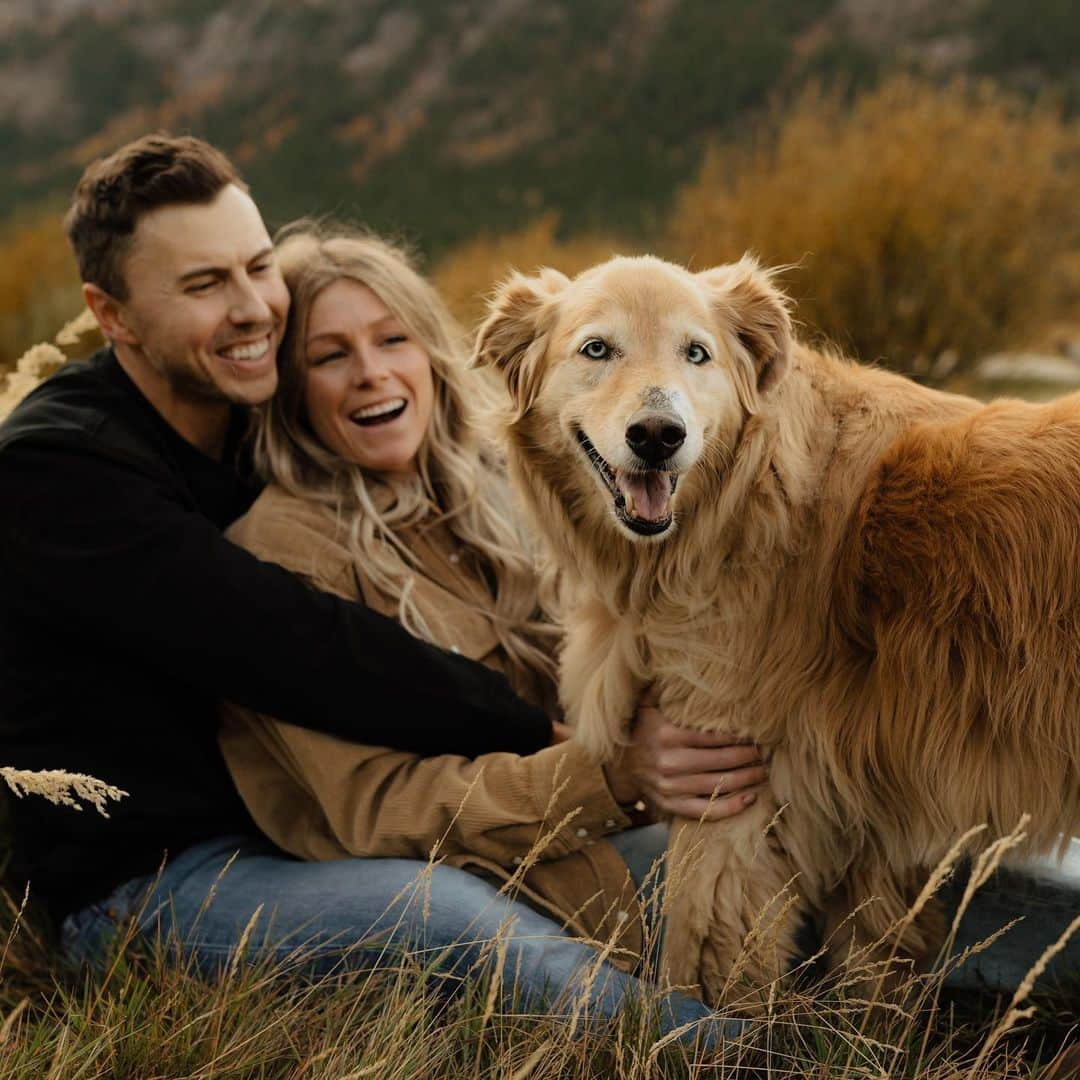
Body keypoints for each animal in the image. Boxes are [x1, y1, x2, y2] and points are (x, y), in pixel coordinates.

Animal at [477, 250, 1080, 1002]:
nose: (659, 436)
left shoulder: (731, 790)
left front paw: (691, 1023)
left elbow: (700, 963)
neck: (739, 502)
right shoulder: (866, 808)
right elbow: (872, 956)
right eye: (596, 349)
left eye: (696, 353)